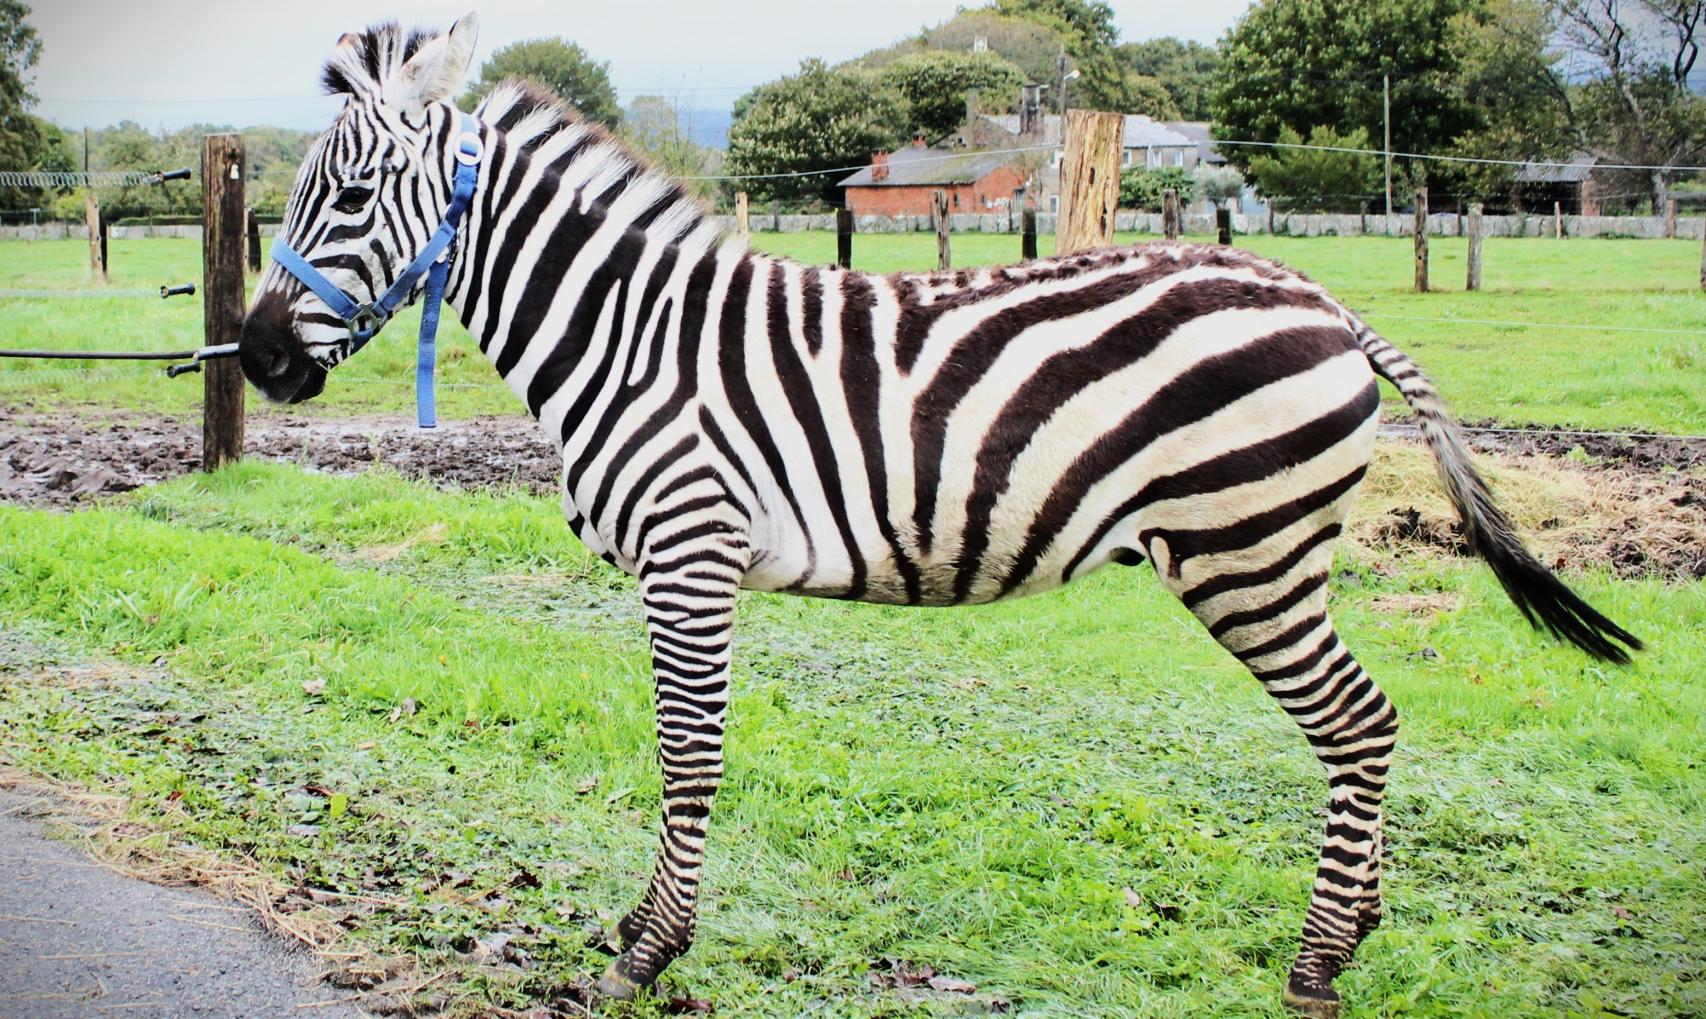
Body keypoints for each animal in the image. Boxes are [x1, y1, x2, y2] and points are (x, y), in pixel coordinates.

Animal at [238, 17, 1641, 1017]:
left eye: (346, 199)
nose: (253, 360)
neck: (636, 339)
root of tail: (1323, 299)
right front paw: (646, 932)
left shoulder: (689, 554)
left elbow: (687, 757)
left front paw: (647, 952)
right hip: (1261, 551)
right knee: (1367, 728)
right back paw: (1353, 935)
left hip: (1244, 550)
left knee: (1360, 724)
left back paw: (1315, 965)